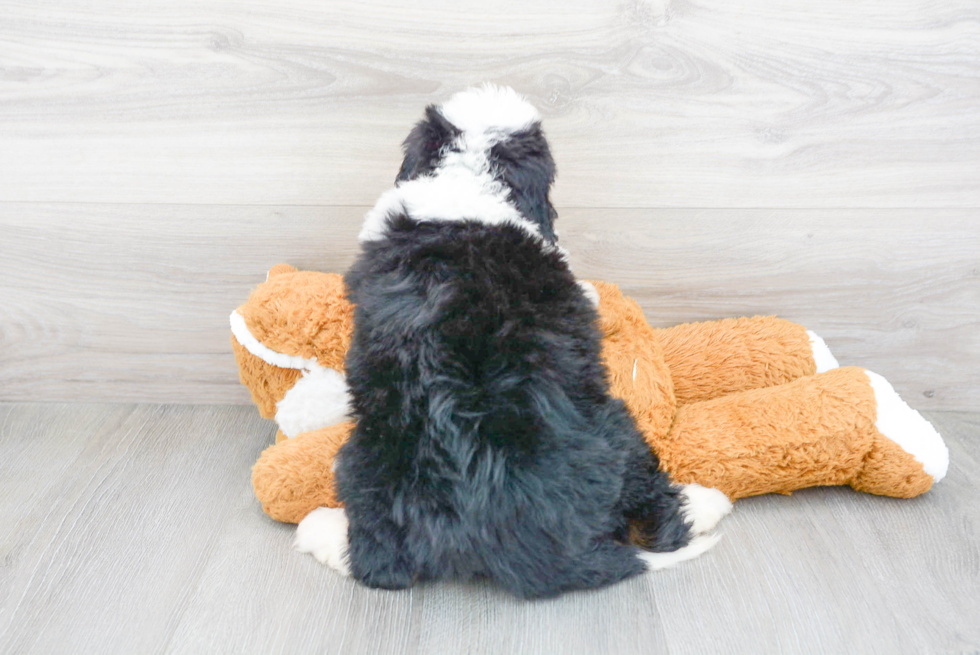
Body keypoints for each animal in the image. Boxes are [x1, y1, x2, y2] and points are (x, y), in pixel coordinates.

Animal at [294, 83, 732, 600]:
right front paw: (590, 291)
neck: (469, 171)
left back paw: (320, 529)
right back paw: (707, 503)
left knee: (379, 564)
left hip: (364, 458)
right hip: (619, 425)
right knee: (657, 506)